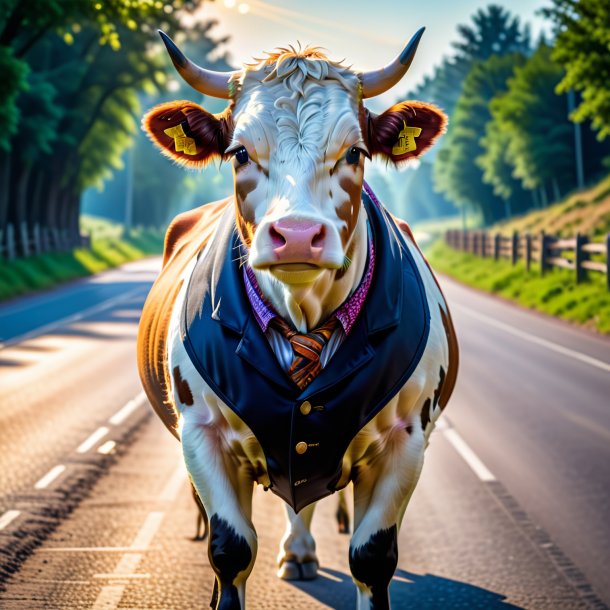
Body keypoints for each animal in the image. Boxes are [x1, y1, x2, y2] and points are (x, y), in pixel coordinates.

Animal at [137, 27, 456, 608]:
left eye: (355, 151)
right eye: (239, 151)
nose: (299, 236)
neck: (302, 313)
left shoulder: (406, 440)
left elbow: (371, 558)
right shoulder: (202, 434)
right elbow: (230, 551)